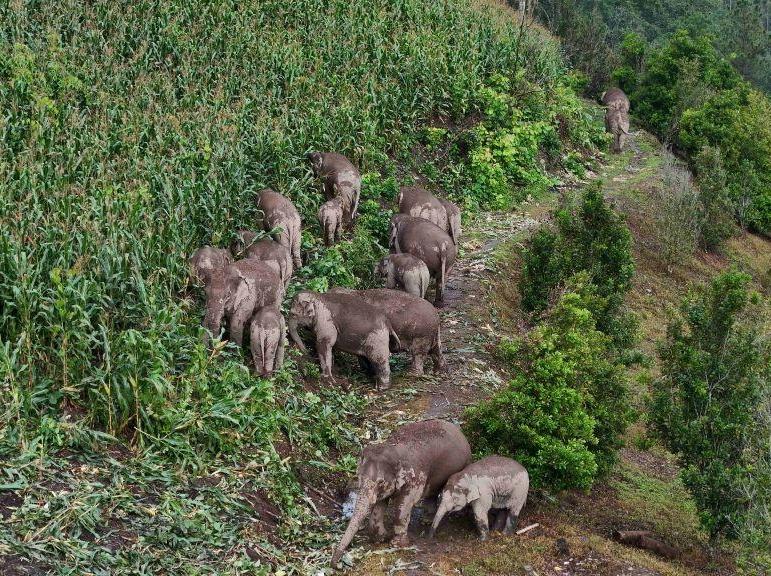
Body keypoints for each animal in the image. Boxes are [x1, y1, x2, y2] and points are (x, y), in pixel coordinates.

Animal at [332, 419, 472, 567]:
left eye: (380, 482)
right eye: (359, 477)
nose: (335, 564)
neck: (393, 448)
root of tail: (460, 432)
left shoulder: (414, 477)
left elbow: (404, 505)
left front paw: (397, 544)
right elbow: (380, 505)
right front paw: (381, 538)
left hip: (463, 464)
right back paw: (426, 520)